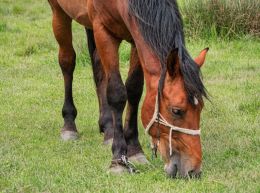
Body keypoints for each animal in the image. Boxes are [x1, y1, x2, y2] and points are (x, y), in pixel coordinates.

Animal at [47, 0, 208, 178]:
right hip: (59, 12)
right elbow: (116, 93)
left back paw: (108, 129)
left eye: (201, 108)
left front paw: (134, 150)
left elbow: (134, 90)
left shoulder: (135, 37)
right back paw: (69, 125)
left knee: (98, 67)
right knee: (67, 61)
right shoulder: (103, 31)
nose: (193, 170)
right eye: (176, 111)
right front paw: (118, 160)